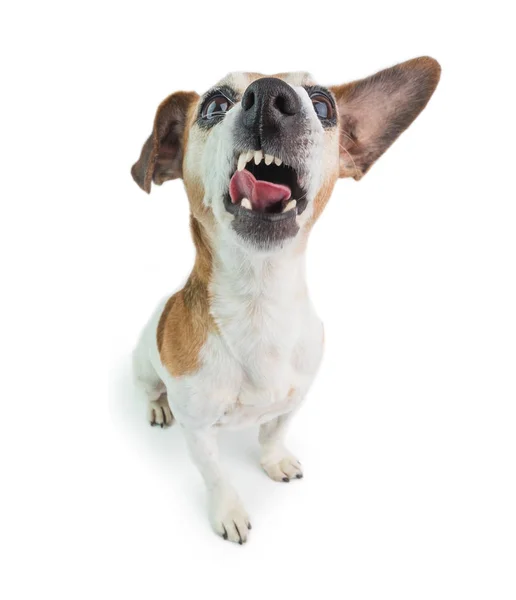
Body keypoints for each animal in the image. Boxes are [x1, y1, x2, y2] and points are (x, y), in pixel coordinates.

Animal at [129, 57, 440, 544]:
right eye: (215, 105)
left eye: (323, 104)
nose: (270, 98)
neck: (260, 305)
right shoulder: (198, 430)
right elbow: (216, 474)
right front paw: (228, 510)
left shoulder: (295, 400)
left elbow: (273, 434)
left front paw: (274, 461)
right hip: (143, 363)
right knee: (150, 389)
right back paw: (157, 405)